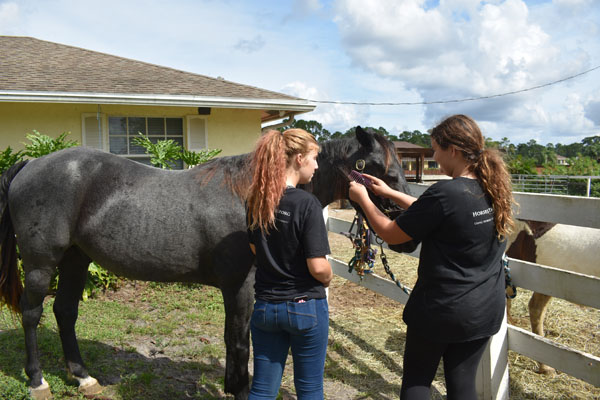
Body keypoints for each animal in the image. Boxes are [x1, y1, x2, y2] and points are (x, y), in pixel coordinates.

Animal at [0, 126, 412, 398]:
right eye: (385, 171)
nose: (406, 233)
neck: (256, 196)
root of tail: (31, 163)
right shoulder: (242, 288)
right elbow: (240, 342)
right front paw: (240, 389)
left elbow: (232, 338)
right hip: (40, 263)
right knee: (32, 314)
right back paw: (37, 381)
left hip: (75, 259)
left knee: (65, 311)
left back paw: (82, 377)